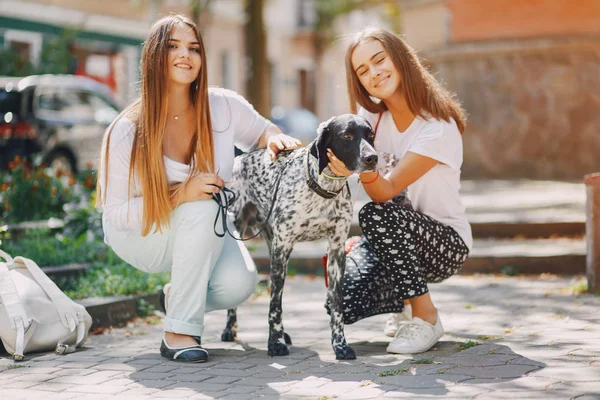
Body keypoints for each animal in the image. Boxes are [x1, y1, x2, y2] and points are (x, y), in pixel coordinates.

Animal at [223, 114, 378, 360]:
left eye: (370, 135)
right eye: (347, 136)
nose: (372, 158)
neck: (321, 189)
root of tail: (241, 158)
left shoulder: (336, 252)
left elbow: (336, 306)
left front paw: (340, 345)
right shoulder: (282, 248)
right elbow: (275, 305)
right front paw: (275, 343)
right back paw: (230, 328)